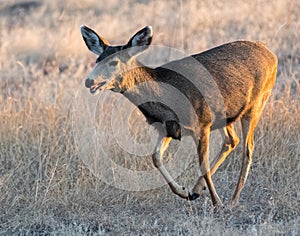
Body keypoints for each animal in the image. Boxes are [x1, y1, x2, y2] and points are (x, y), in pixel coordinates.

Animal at [79, 24, 276, 207]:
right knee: (232, 140)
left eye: (114, 62)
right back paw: (197, 190)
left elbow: (203, 165)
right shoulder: (168, 127)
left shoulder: (202, 124)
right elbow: (155, 157)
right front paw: (184, 191)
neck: (165, 97)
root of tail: (270, 53)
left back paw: (232, 201)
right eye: (97, 60)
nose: (89, 81)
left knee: (248, 149)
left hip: (257, 103)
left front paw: (217, 203)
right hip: (226, 114)